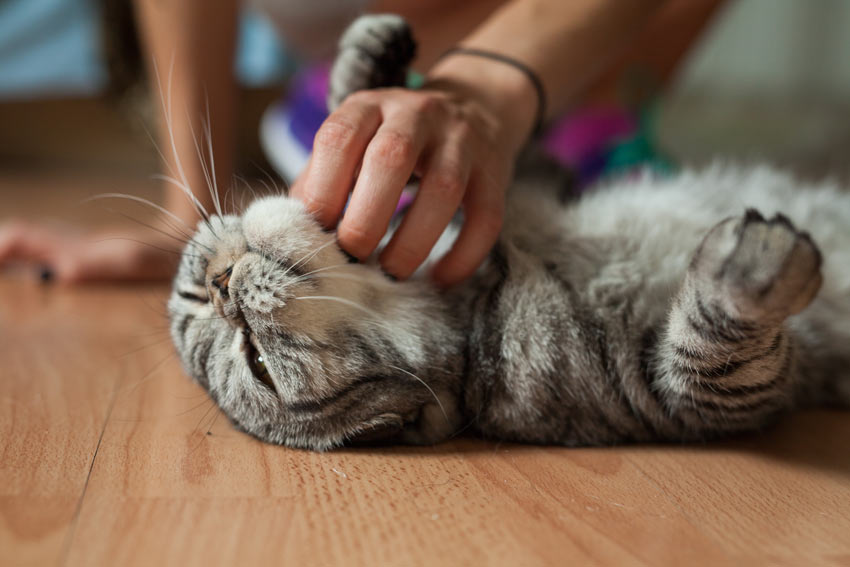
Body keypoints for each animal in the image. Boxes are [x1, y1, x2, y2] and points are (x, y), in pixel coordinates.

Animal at [167, 14, 848, 452]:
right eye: (256, 363)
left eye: (196, 290)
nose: (220, 281)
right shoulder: (674, 400)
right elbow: (715, 354)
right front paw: (754, 269)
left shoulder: (522, 178)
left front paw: (370, 68)